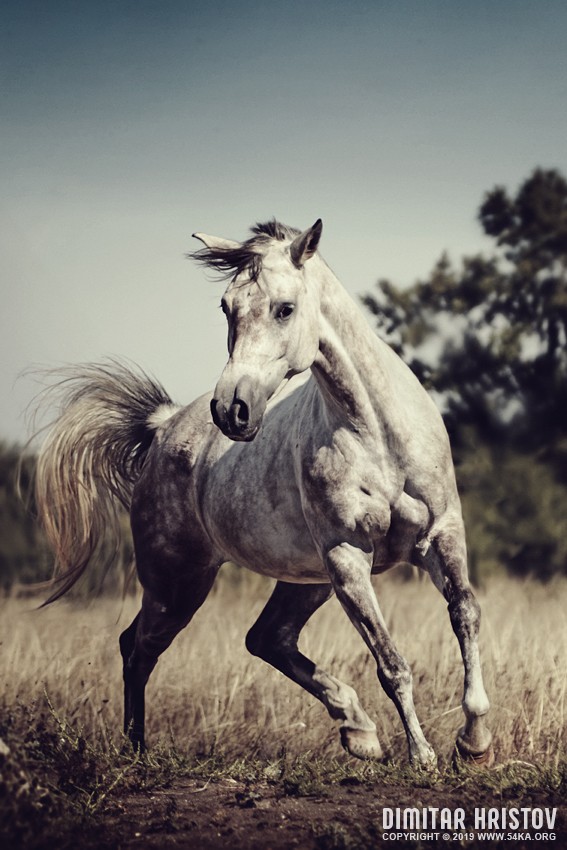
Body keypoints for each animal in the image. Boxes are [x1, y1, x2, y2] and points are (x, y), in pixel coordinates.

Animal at [33, 217, 494, 760]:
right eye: (226, 307)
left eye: (285, 308)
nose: (232, 409)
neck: (380, 438)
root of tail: (164, 425)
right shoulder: (348, 558)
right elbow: (391, 663)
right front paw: (422, 757)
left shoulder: (441, 535)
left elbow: (465, 613)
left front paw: (474, 740)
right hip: (179, 584)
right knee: (138, 647)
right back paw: (137, 751)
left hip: (305, 581)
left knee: (266, 638)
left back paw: (358, 731)